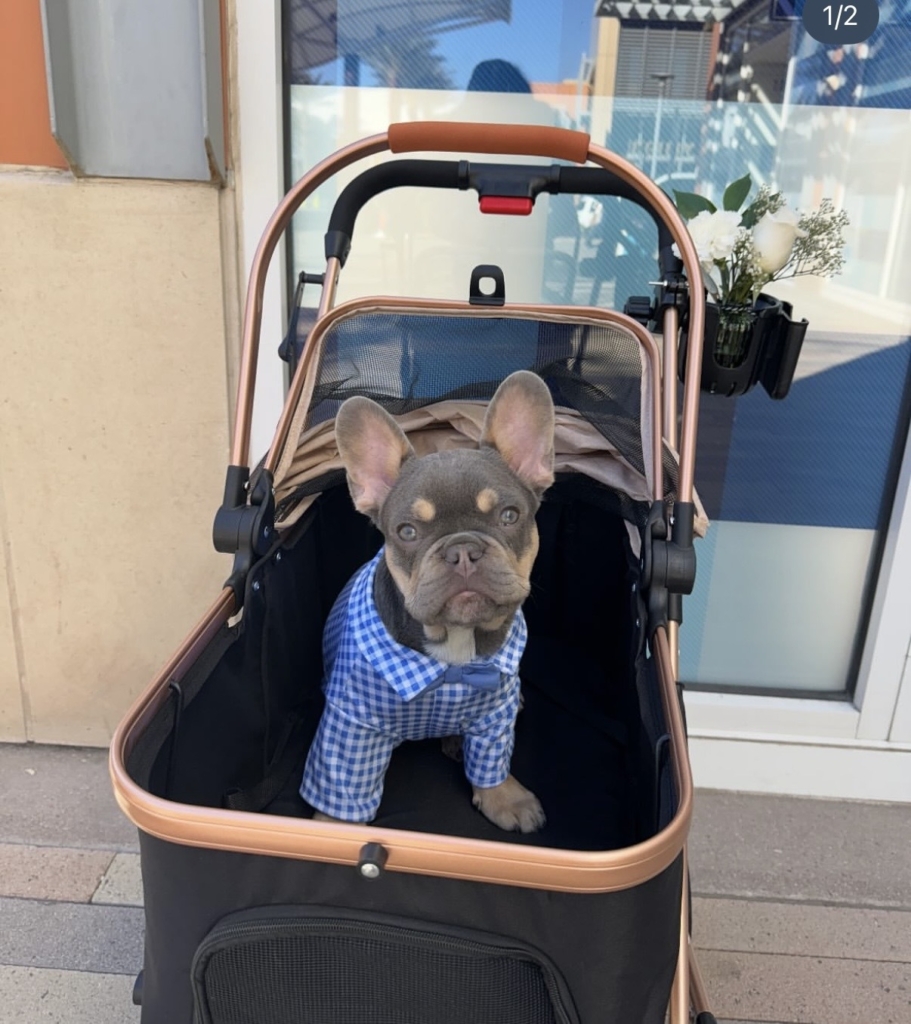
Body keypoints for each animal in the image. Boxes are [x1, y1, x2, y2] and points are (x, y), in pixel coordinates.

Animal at [300, 370, 554, 833]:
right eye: (407, 532)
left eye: (509, 516)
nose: (463, 550)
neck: (454, 648)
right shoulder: (350, 726)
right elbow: (343, 789)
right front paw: (330, 831)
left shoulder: (495, 717)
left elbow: (494, 761)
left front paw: (505, 797)